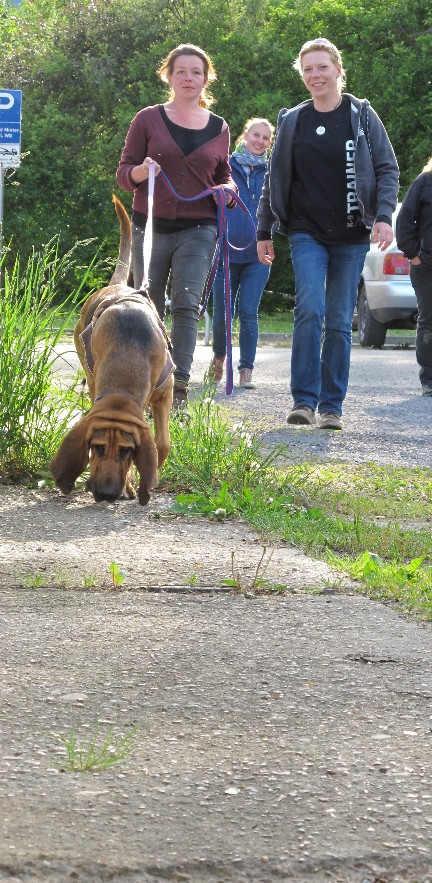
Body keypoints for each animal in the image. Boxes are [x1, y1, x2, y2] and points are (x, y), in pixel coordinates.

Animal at [49, 197, 174, 508]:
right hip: (89, 371)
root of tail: (118, 284)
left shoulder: (165, 394)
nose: (105, 495)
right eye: (96, 447)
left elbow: (162, 444)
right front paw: (131, 484)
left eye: (126, 451)